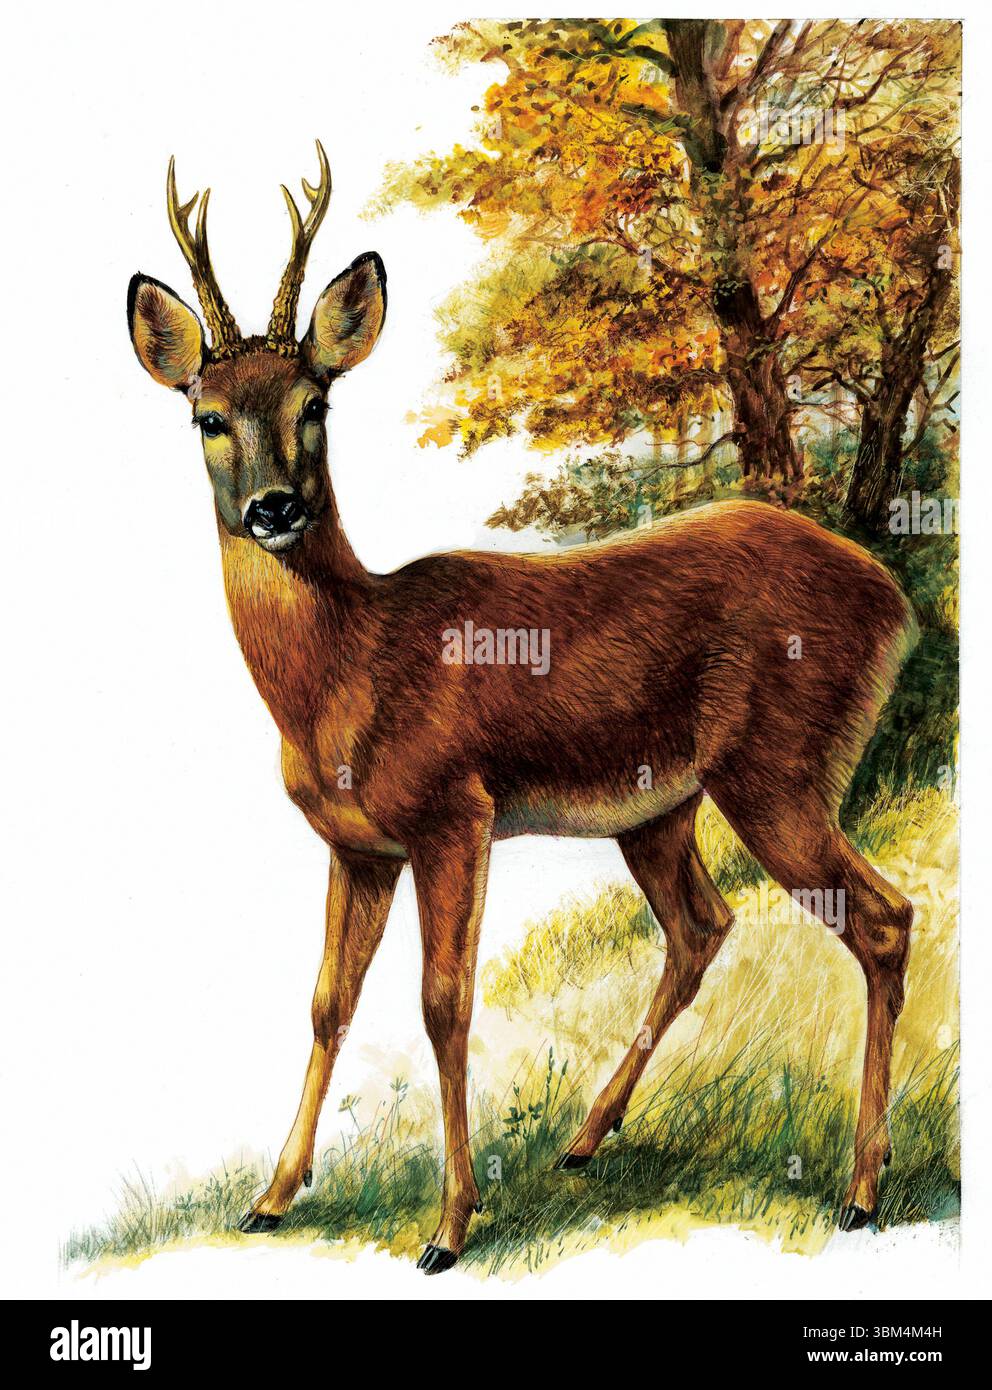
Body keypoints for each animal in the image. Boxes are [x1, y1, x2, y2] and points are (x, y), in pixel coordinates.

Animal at [128, 142, 917, 1275]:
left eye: (315, 404)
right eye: (207, 415)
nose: (273, 507)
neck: (349, 671)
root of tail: (894, 601)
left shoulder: (453, 812)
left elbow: (443, 1003)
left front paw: (449, 1227)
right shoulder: (358, 845)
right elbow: (327, 1003)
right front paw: (271, 1197)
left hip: (780, 766)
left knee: (883, 919)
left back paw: (859, 1189)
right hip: (659, 807)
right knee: (702, 925)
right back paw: (586, 1141)